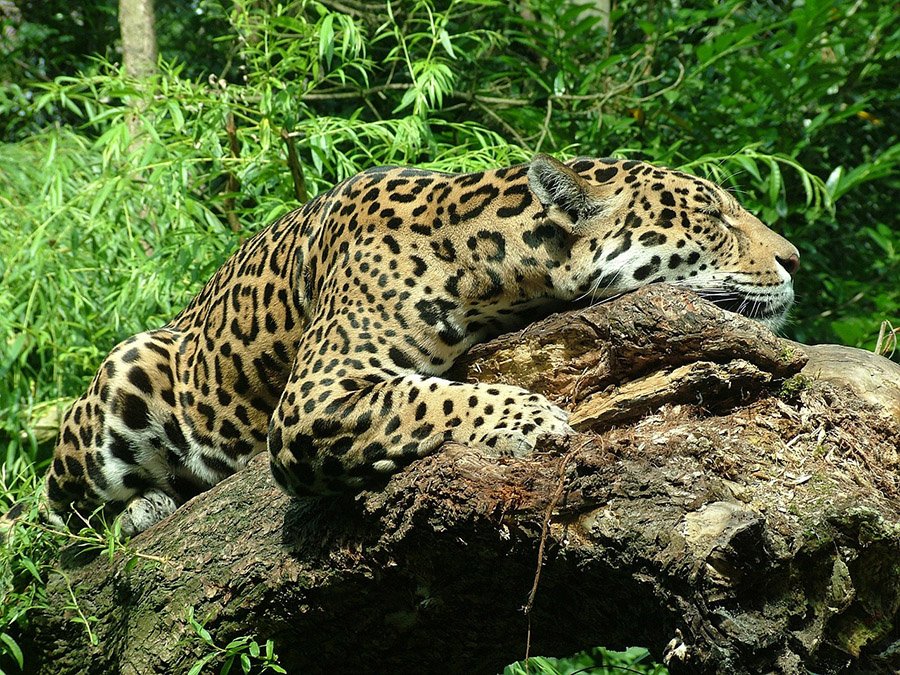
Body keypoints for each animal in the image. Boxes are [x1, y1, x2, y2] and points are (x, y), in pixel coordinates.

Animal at [38, 154, 799, 536]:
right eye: (712, 215)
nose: (794, 258)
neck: (494, 261)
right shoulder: (316, 395)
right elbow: (427, 398)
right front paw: (535, 419)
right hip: (121, 384)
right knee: (55, 521)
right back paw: (138, 509)